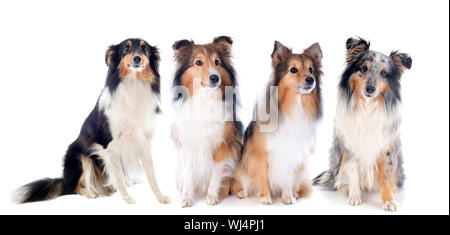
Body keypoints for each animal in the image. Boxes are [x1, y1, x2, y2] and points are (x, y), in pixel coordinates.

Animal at [14, 38, 169, 204]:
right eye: (125, 49)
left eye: (144, 49)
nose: (137, 58)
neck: (133, 83)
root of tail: (64, 180)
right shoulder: (109, 145)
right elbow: (119, 176)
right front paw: (127, 198)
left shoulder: (143, 141)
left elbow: (151, 174)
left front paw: (161, 197)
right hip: (81, 158)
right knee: (74, 187)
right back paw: (89, 192)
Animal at [171, 35, 243, 207]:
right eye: (198, 62)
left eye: (217, 62)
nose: (215, 78)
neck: (205, 98)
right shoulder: (188, 145)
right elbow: (189, 175)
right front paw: (187, 198)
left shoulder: (222, 144)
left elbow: (215, 174)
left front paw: (211, 197)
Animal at [232, 41, 324, 205]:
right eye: (293, 70)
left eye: (311, 70)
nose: (310, 79)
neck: (294, 104)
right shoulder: (260, 153)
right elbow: (263, 176)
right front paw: (265, 197)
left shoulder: (292, 153)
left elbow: (287, 178)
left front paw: (288, 197)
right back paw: (242, 192)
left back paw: (296, 193)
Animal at [312, 37, 412, 211]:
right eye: (364, 68)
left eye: (383, 73)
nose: (370, 89)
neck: (368, 106)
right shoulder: (351, 146)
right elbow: (353, 173)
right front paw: (354, 196)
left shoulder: (386, 148)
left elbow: (386, 177)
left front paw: (388, 200)